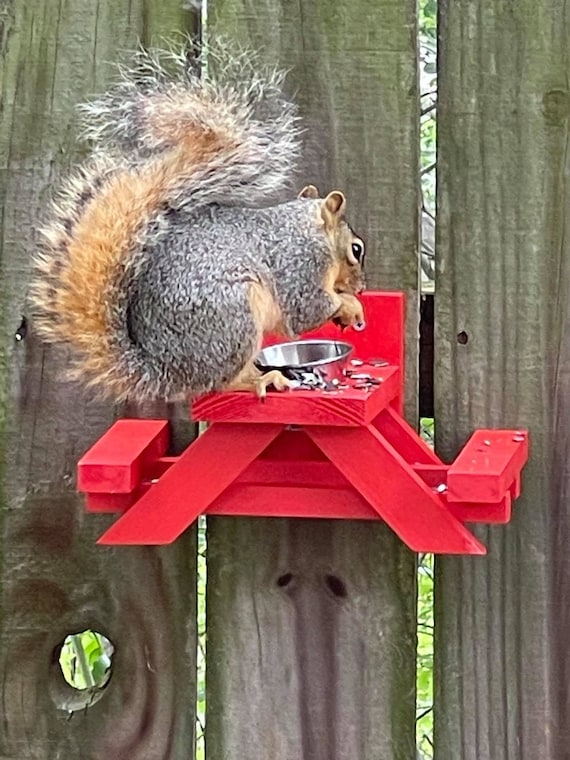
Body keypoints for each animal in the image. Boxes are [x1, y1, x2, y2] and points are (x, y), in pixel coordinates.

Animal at [30, 39, 366, 402]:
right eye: (356, 249)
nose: (362, 287)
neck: (306, 229)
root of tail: (166, 372)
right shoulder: (300, 267)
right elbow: (308, 309)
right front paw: (350, 306)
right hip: (234, 319)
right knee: (222, 382)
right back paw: (263, 380)